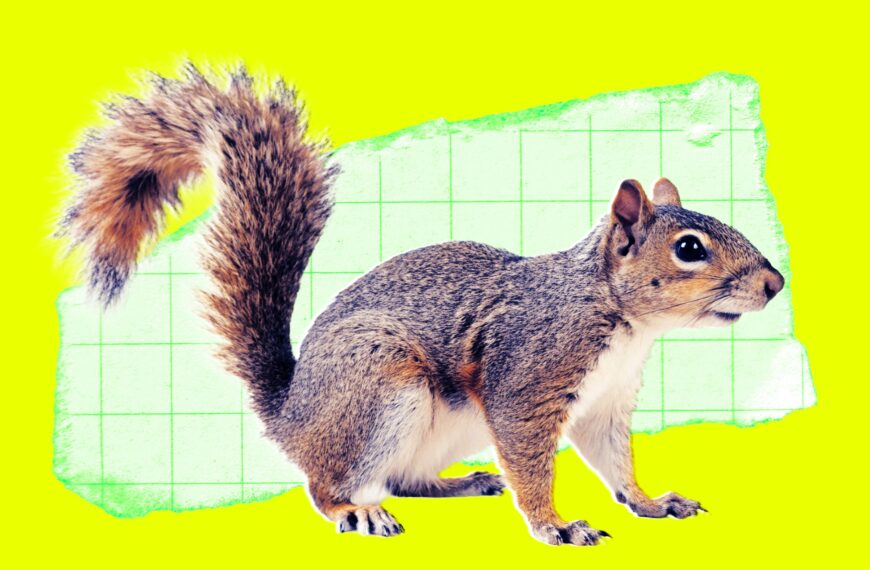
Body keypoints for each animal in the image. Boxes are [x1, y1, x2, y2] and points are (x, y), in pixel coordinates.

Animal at [58, 64, 784, 546]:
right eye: (689, 248)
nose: (775, 283)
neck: (623, 321)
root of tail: (292, 415)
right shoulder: (528, 378)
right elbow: (531, 463)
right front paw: (555, 525)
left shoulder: (604, 400)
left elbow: (614, 460)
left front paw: (651, 501)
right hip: (380, 389)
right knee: (329, 485)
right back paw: (357, 511)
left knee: (405, 477)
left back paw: (463, 483)